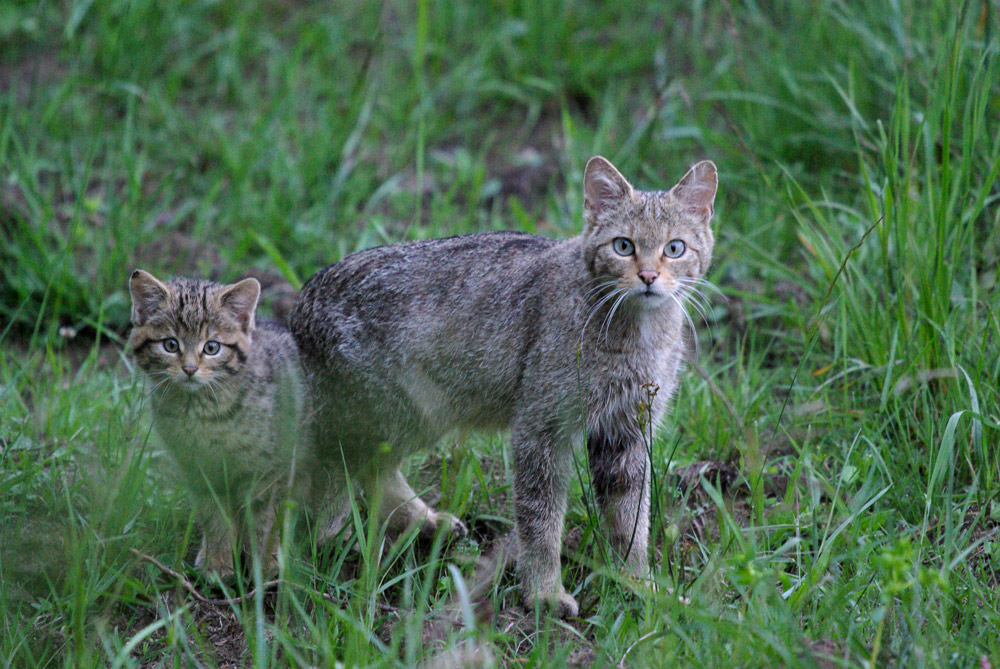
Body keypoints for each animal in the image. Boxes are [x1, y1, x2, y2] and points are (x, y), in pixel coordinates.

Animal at [127, 270, 310, 580]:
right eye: (170, 344)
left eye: (211, 347)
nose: (189, 369)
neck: (201, 413)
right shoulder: (200, 470)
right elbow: (215, 515)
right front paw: (218, 561)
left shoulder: (267, 469)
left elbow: (263, 518)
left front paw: (265, 564)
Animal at [292, 157, 720, 616]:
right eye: (623, 246)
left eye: (674, 248)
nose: (648, 276)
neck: (637, 332)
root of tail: (301, 303)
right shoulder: (541, 428)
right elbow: (540, 518)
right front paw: (544, 592)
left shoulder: (626, 431)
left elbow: (630, 519)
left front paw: (637, 582)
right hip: (392, 415)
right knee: (336, 475)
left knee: (374, 468)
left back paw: (421, 523)